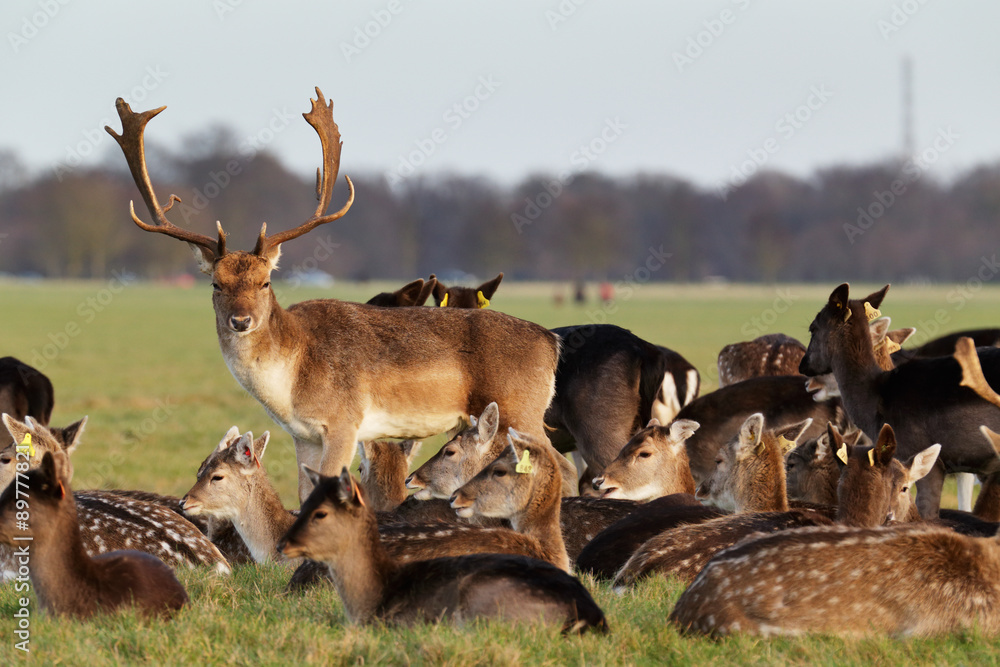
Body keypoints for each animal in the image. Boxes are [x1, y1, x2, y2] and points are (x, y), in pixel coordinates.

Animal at [106, 90, 561, 503]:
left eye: (266, 281)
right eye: (216, 283)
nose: (241, 320)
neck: (291, 379)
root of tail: (551, 341)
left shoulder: (345, 421)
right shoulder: (303, 435)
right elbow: (305, 494)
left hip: (521, 410)